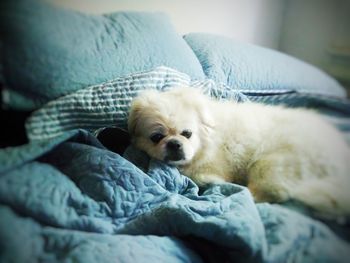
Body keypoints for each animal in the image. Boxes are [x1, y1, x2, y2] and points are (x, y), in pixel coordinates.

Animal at [128, 87, 350, 220]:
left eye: (187, 134)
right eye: (156, 137)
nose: (174, 144)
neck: (207, 139)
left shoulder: (210, 166)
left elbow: (201, 175)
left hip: (268, 164)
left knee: (275, 192)